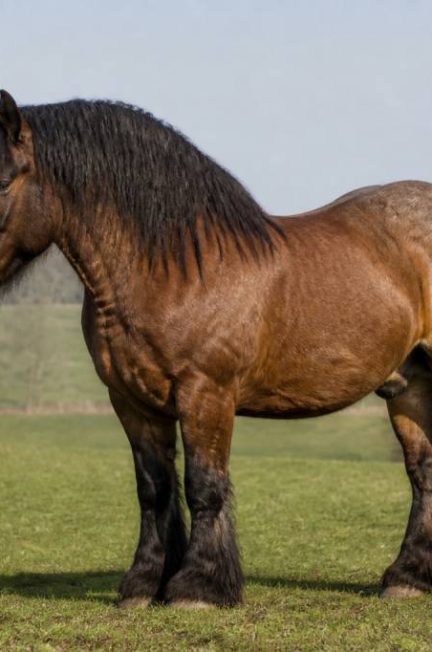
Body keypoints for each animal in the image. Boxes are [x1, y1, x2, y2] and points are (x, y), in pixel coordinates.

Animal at [0, 89, 431, 608]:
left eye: (3, 181)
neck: (173, 268)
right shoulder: (132, 401)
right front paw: (145, 583)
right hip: (409, 387)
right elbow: (155, 489)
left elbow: (204, 485)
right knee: (422, 472)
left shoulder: (206, 394)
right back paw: (407, 578)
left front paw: (199, 586)